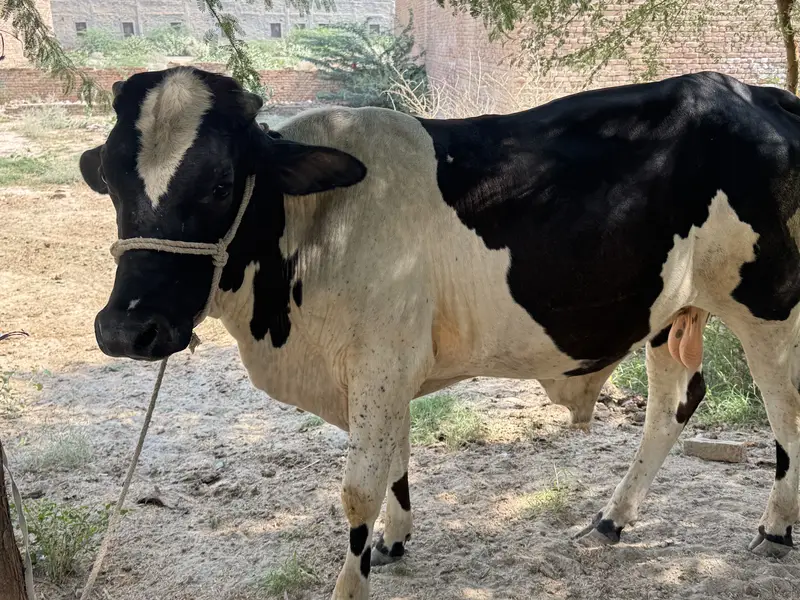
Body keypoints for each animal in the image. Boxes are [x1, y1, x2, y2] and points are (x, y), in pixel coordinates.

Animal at [80, 67, 799, 599]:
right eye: (111, 180)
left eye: (221, 182)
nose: (127, 328)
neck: (311, 229)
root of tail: (756, 94)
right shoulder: (386, 366)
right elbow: (396, 456)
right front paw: (395, 539)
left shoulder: (378, 361)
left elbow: (358, 489)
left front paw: (352, 583)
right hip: (668, 309)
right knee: (674, 401)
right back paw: (611, 519)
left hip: (768, 305)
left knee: (785, 411)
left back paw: (774, 528)